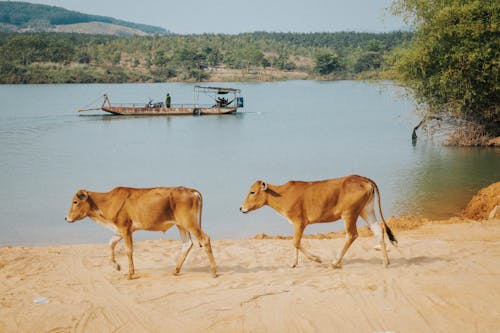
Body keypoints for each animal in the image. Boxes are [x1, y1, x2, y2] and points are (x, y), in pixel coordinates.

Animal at [65, 187, 217, 278]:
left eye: (75, 202)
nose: (66, 218)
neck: (107, 203)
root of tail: (191, 190)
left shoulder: (126, 229)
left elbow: (128, 250)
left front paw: (130, 274)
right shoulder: (119, 230)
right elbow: (111, 243)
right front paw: (117, 266)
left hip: (189, 223)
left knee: (204, 239)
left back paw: (214, 272)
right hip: (181, 225)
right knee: (187, 244)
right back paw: (176, 270)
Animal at [239, 175, 398, 268]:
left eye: (252, 192)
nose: (241, 208)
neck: (283, 194)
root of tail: (364, 179)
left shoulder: (300, 222)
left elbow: (295, 242)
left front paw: (317, 259)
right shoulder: (296, 225)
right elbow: (295, 242)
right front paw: (293, 263)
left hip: (349, 214)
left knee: (352, 235)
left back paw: (335, 262)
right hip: (366, 210)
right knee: (378, 230)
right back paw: (386, 262)